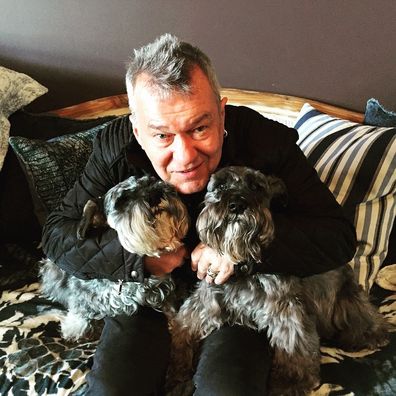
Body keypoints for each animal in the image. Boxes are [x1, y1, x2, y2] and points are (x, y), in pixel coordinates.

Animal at [40, 176, 189, 340]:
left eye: (150, 180)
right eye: (122, 200)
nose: (155, 195)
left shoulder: (162, 288)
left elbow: (170, 306)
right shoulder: (82, 290)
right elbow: (81, 305)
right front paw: (75, 326)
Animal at [168, 166, 390, 396]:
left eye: (256, 186)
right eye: (220, 186)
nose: (236, 205)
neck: (242, 267)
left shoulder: (285, 308)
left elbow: (292, 344)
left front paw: (288, 382)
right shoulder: (205, 302)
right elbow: (183, 330)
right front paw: (177, 372)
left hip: (348, 301)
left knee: (368, 319)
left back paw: (368, 336)